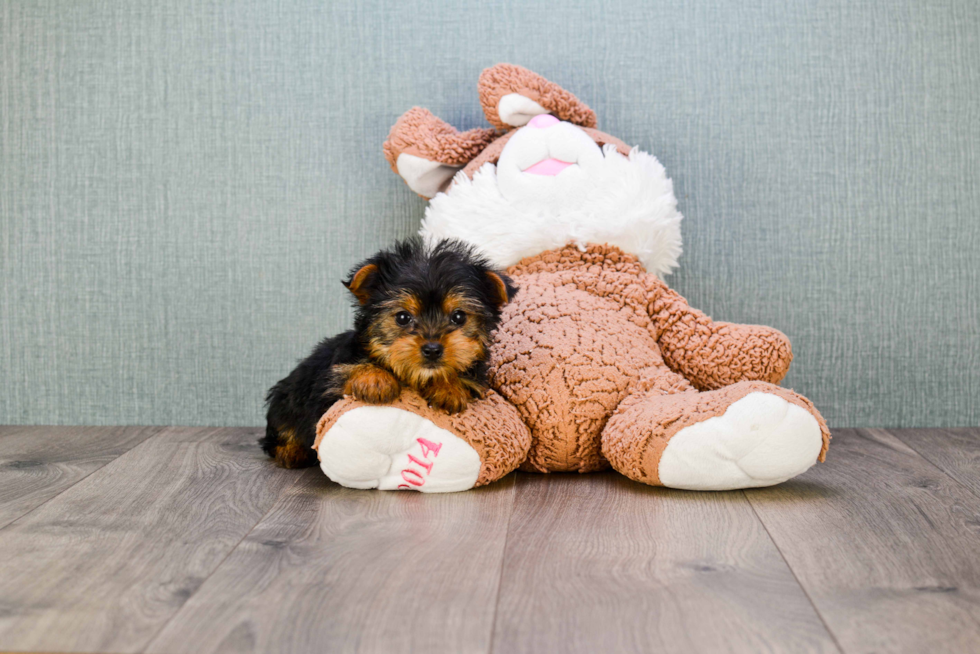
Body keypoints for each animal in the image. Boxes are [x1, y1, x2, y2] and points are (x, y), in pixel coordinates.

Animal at [260, 238, 520, 468]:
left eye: (459, 316)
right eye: (403, 317)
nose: (432, 349)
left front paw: (448, 387)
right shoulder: (329, 383)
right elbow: (346, 371)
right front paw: (375, 380)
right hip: (288, 400)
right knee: (279, 433)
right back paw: (291, 451)